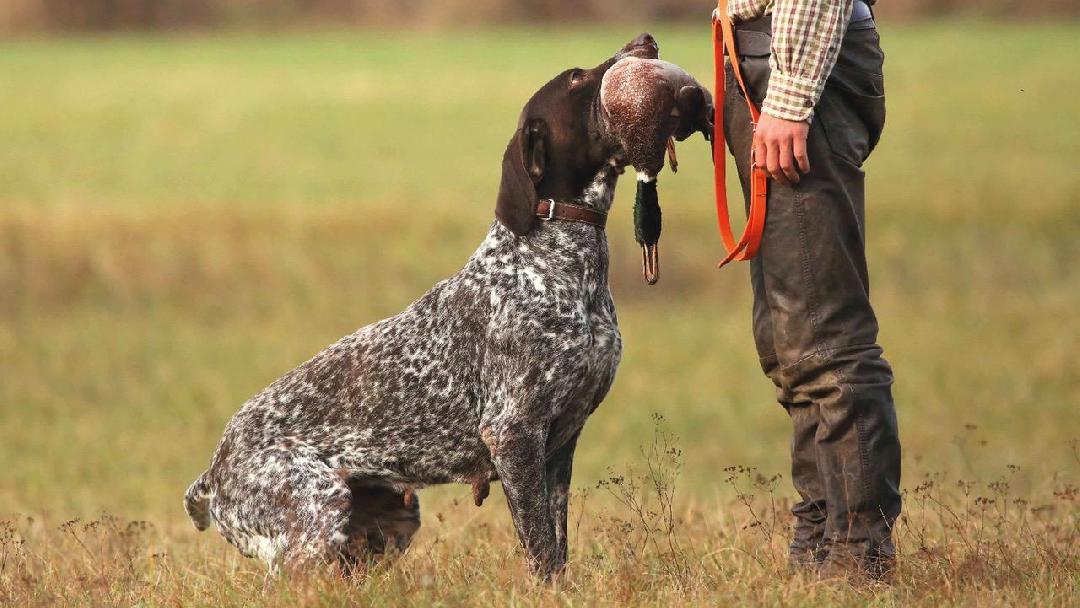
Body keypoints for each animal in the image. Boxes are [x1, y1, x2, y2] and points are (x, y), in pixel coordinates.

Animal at [183, 33, 708, 578]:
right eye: (577, 78)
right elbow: (540, 547)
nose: (646, 41)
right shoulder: (513, 434)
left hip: (387, 524)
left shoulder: (560, 445)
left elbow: (557, 547)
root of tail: (213, 471)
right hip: (315, 515)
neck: (563, 265)